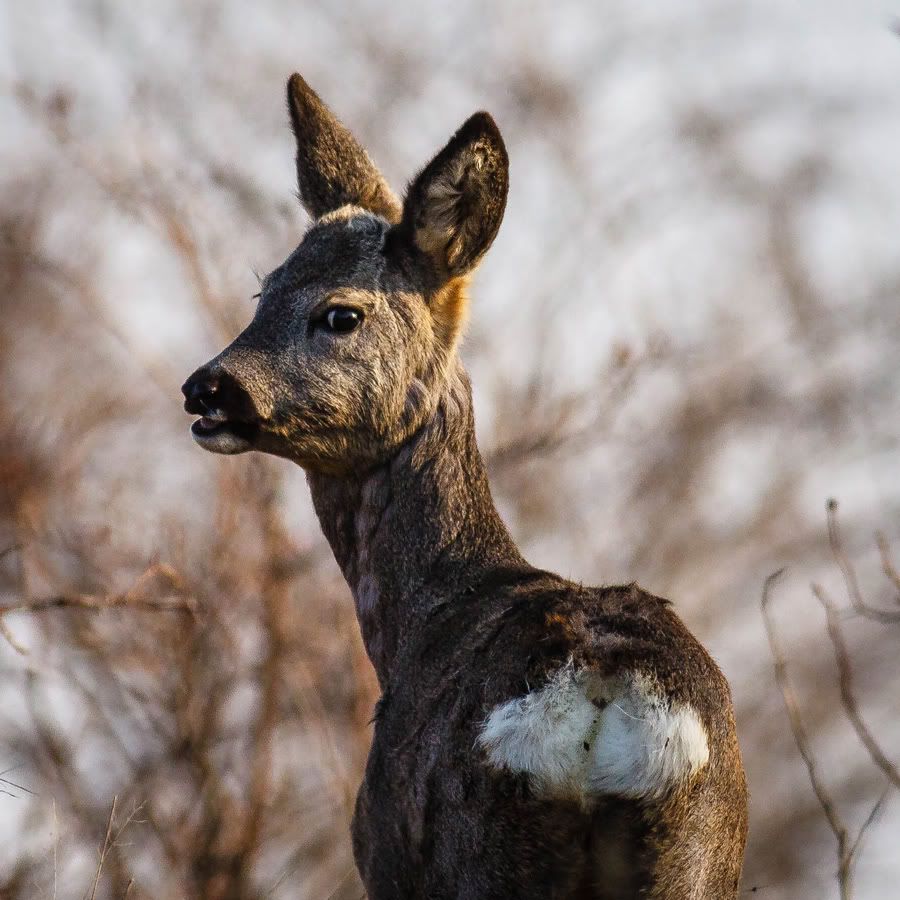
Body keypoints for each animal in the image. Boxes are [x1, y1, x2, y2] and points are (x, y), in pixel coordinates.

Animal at [181, 74, 744, 896]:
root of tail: (605, 694)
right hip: (698, 855)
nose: (207, 389)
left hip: (479, 845)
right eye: (265, 292)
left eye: (340, 313)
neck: (422, 616)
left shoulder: (383, 855)